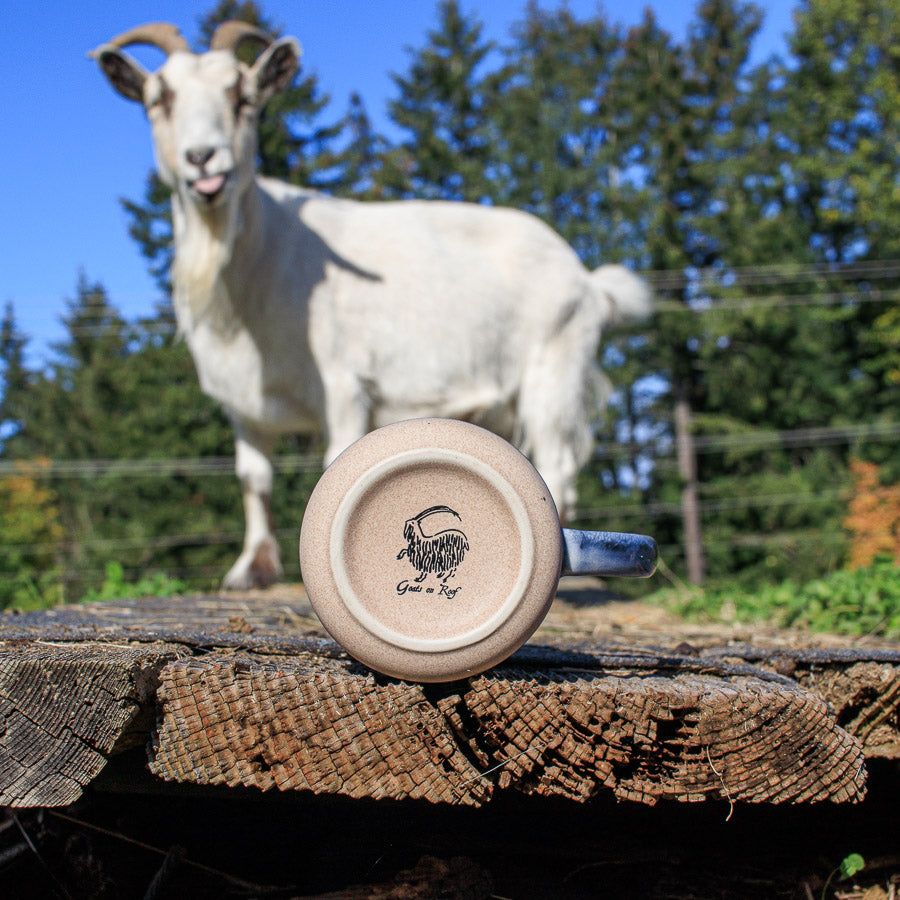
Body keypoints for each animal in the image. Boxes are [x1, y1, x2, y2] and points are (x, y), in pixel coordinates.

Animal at [93, 21, 652, 592]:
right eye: (158, 99)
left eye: (243, 97)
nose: (203, 158)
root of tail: (588, 280)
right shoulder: (241, 402)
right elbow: (254, 477)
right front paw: (251, 568)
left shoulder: (343, 384)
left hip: (554, 371)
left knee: (556, 461)